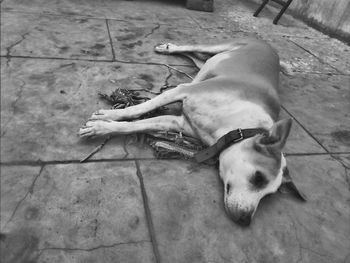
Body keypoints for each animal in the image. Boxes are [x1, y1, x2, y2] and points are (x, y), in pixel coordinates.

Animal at [78, 37, 304, 227]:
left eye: (269, 195)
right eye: (259, 177)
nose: (245, 220)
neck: (237, 124)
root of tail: (273, 50)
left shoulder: (176, 123)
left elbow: (138, 124)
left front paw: (105, 126)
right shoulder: (181, 90)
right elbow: (139, 108)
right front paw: (108, 117)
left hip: (208, 64)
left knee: (198, 59)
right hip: (222, 48)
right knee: (194, 48)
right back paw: (168, 48)